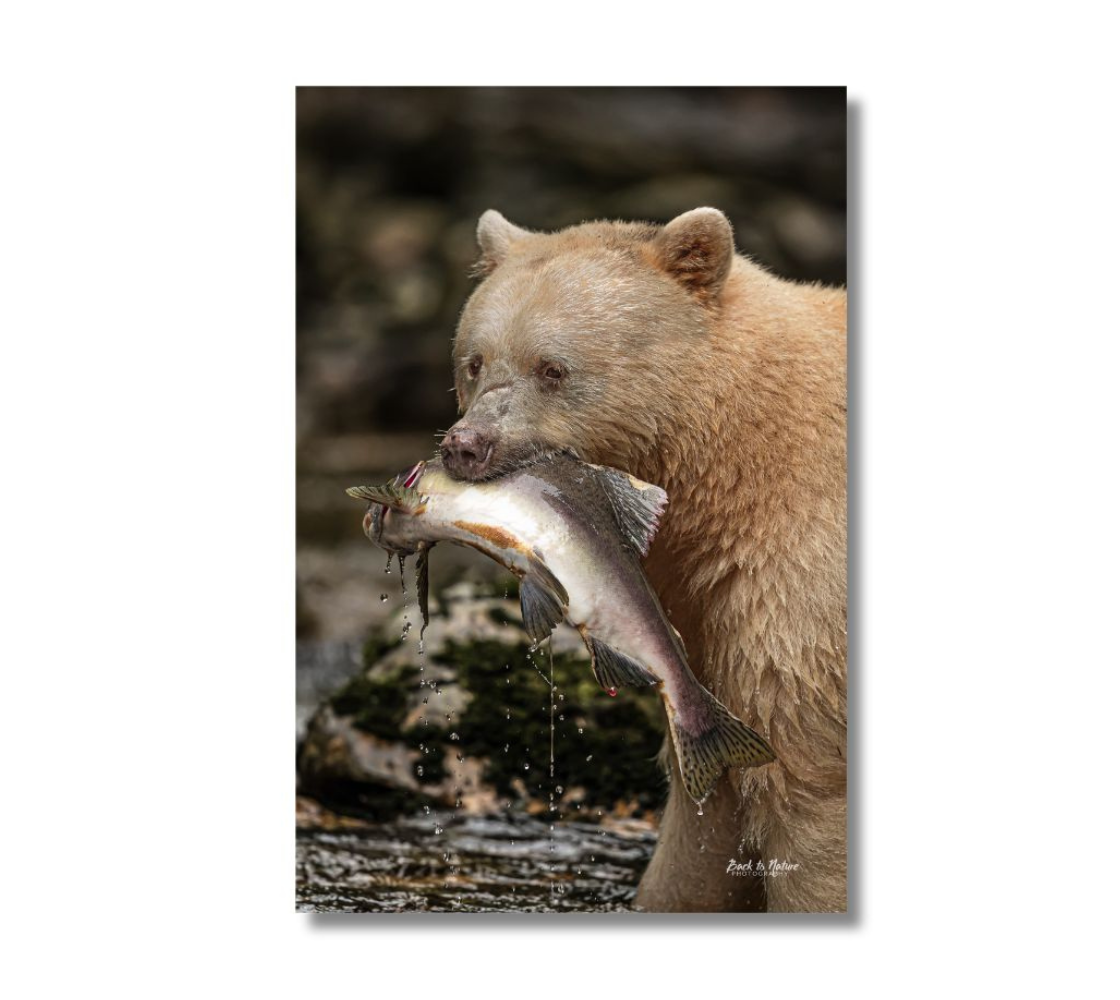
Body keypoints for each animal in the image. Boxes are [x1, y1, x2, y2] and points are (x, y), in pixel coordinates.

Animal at [440, 208, 847, 912]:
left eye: (553, 368)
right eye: (475, 361)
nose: (467, 445)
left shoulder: (798, 588)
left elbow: (804, 784)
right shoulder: (704, 618)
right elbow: (708, 811)